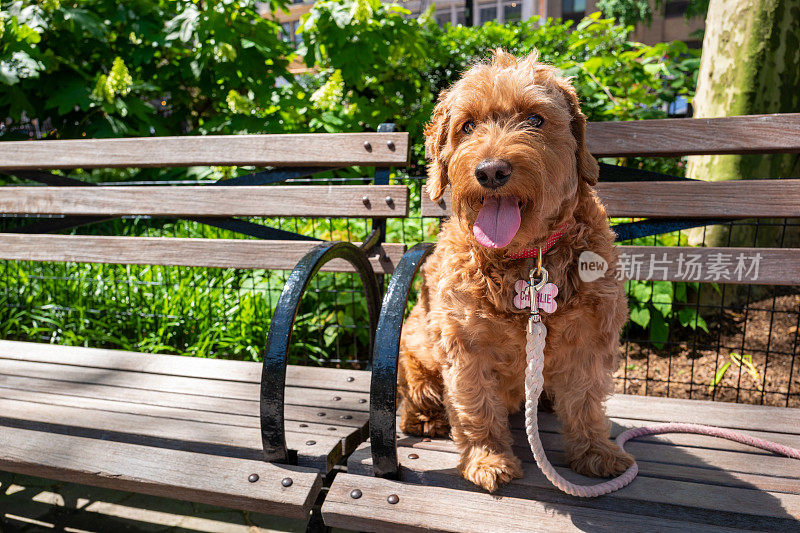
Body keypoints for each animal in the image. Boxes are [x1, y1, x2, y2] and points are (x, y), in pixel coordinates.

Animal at [396, 50, 636, 490]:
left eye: (536, 119)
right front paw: (488, 459)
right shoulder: (465, 347)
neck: (526, 261)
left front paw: (596, 452)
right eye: (467, 125)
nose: (491, 171)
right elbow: (475, 408)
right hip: (414, 351)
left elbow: (586, 401)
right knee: (417, 401)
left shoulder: (590, 338)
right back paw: (427, 420)